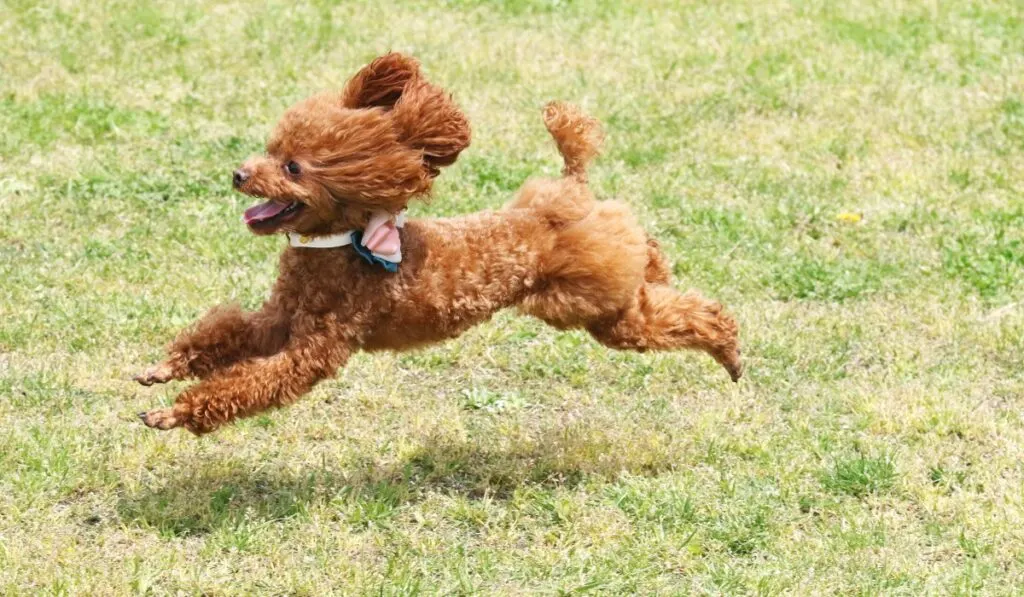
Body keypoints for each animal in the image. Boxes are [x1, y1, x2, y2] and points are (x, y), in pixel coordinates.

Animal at [136, 52, 745, 434]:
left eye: (292, 167)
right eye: (270, 149)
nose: (240, 174)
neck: (344, 241)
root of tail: (570, 189)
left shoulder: (312, 348)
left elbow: (249, 382)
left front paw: (173, 414)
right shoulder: (278, 320)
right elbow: (223, 337)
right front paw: (163, 370)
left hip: (592, 304)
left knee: (689, 316)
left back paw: (731, 353)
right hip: (605, 287)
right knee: (656, 274)